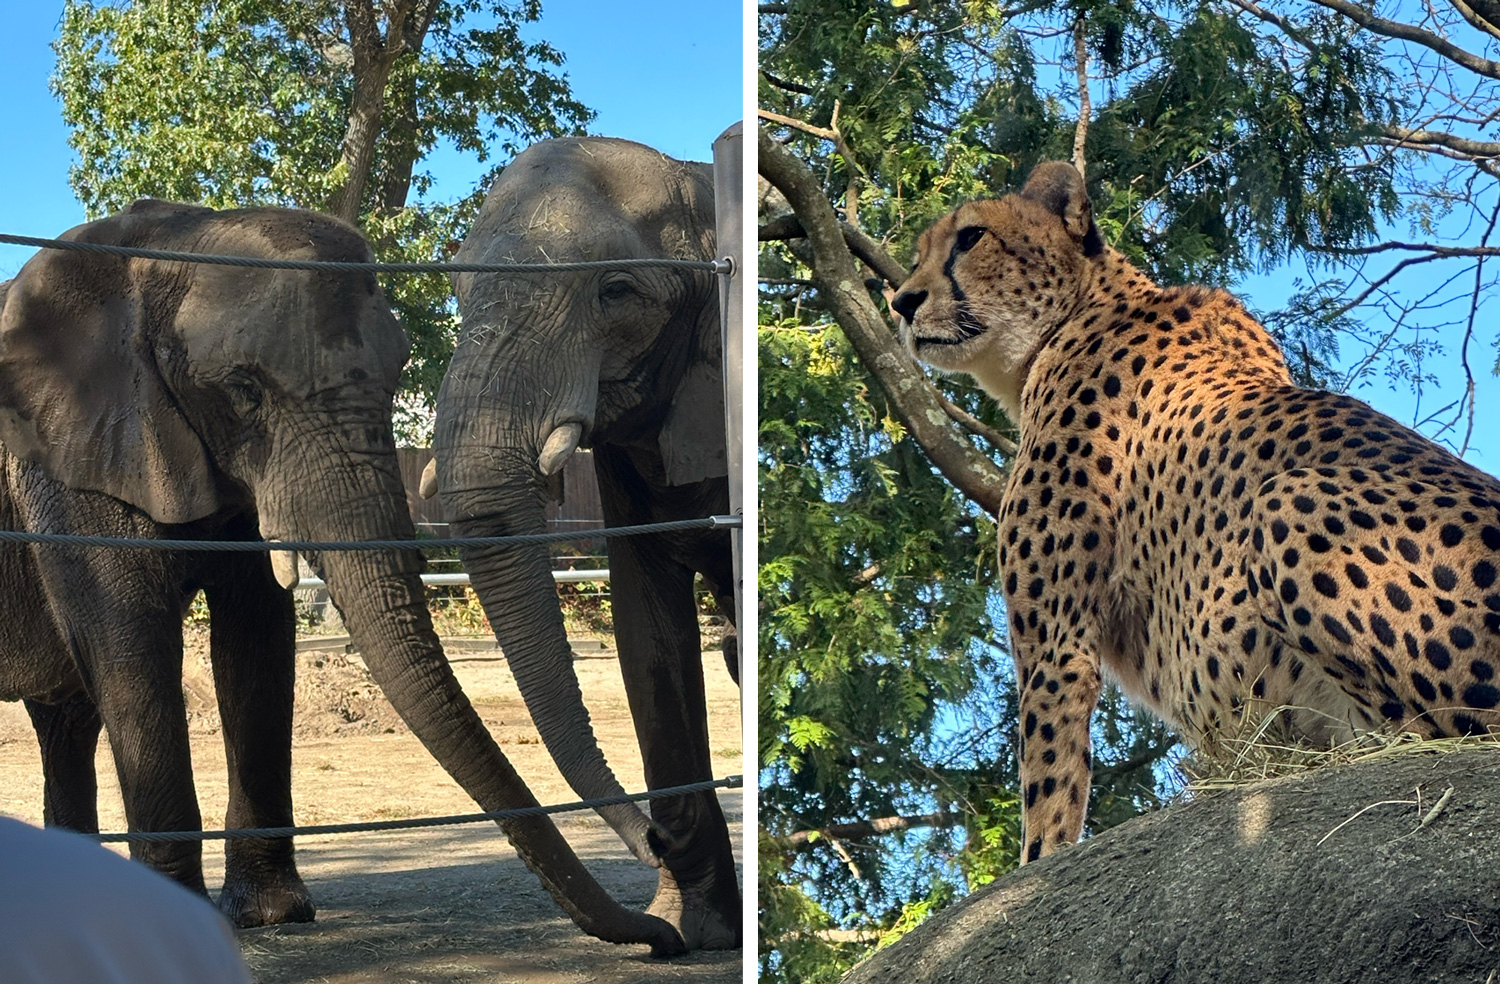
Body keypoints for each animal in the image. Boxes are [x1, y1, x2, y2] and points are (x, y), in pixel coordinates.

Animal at [0, 199, 685, 954]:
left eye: (398, 375)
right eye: (242, 391)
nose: (659, 846)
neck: (166, 245)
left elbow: (257, 634)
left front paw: (273, 915)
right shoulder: (71, 460)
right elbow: (130, 634)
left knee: (64, 721)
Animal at [890, 160, 1500, 864]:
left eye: (970, 238)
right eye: (918, 256)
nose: (901, 302)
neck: (1070, 318)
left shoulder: (1057, 646)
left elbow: (1050, 787)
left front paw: (1035, 867)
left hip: (1286, 501)